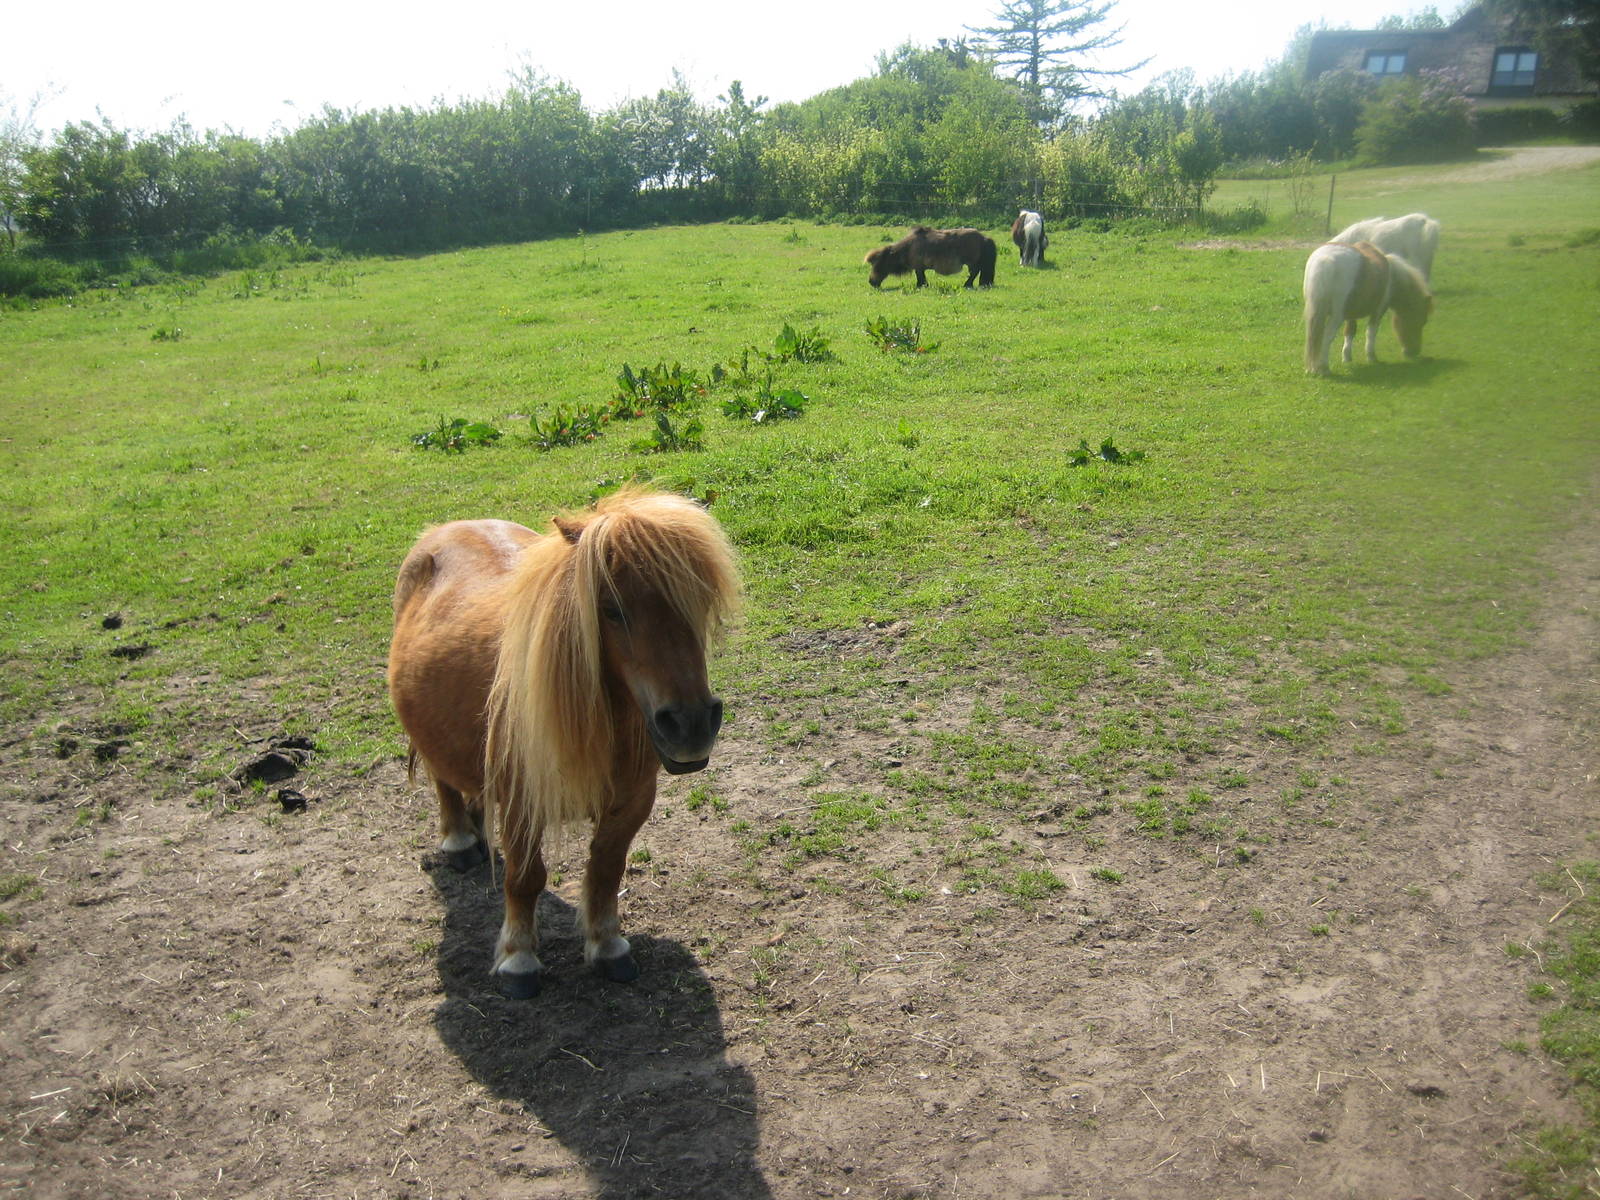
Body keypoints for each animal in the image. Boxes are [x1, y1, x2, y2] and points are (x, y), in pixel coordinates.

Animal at [388, 488, 741, 998]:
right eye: (610, 609)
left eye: (699, 600)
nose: (691, 724)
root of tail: (444, 530)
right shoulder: (522, 801)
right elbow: (525, 878)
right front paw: (518, 958)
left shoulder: (632, 801)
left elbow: (606, 870)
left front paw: (607, 946)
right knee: (443, 781)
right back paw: (460, 839)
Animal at [865, 226, 997, 288]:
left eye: (878, 264)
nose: (871, 281)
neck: (908, 248)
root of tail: (984, 238)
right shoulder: (919, 268)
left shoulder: (918, 267)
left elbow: (920, 277)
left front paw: (920, 286)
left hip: (972, 262)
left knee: (974, 272)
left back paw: (967, 284)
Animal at [1303, 240, 1434, 376]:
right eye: (1420, 322)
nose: (1413, 351)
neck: (1392, 277)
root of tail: (1324, 260)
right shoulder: (1378, 311)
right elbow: (1371, 332)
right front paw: (1371, 357)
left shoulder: (1351, 314)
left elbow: (1350, 332)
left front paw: (1347, 358)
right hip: (1336, 316)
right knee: (1327, 337)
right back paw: (1324, 368)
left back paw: (1312, 368)